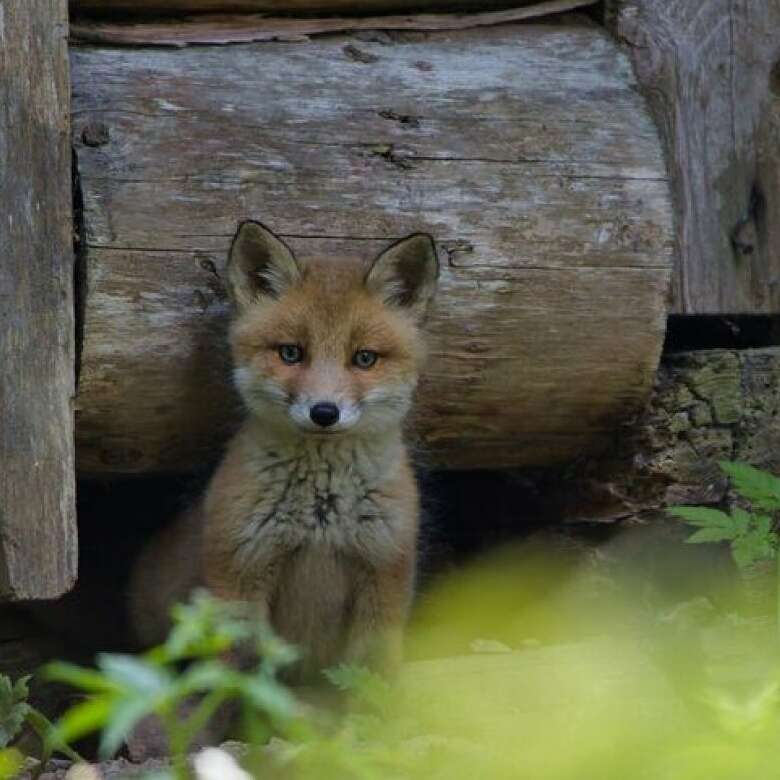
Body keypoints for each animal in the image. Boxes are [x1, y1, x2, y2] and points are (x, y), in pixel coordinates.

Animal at [131, 222, 442, 680]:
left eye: (364, 358)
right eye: (291, 353)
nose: (324, 412)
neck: (321, 515)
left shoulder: (385, 571)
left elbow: (373, 676)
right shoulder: (239, 573)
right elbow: (242, 681)